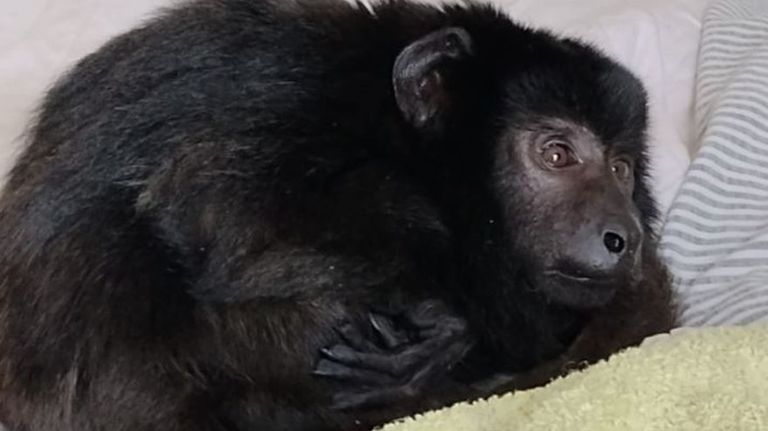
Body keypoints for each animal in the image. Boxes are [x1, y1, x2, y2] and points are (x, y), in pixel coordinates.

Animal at [0, 0, 676, 430]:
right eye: (557, 154)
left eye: (620, 168)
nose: (623, 234)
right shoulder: (296, 97)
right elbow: (210, 218)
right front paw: (449, 325)